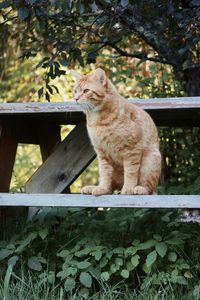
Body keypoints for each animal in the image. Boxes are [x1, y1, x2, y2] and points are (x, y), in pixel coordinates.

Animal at [72, 67, 162, 195]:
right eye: (75, 91)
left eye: (86, 91)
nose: (75, 98)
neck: (96, 120)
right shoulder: (102, 153)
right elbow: (105, 174)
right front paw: (102, 188)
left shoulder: (132, 150)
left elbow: (130, 173)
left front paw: (128, 188)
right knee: (111, 187)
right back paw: (93, 188)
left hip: (150, 161)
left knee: (149, 188)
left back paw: (139, 188)